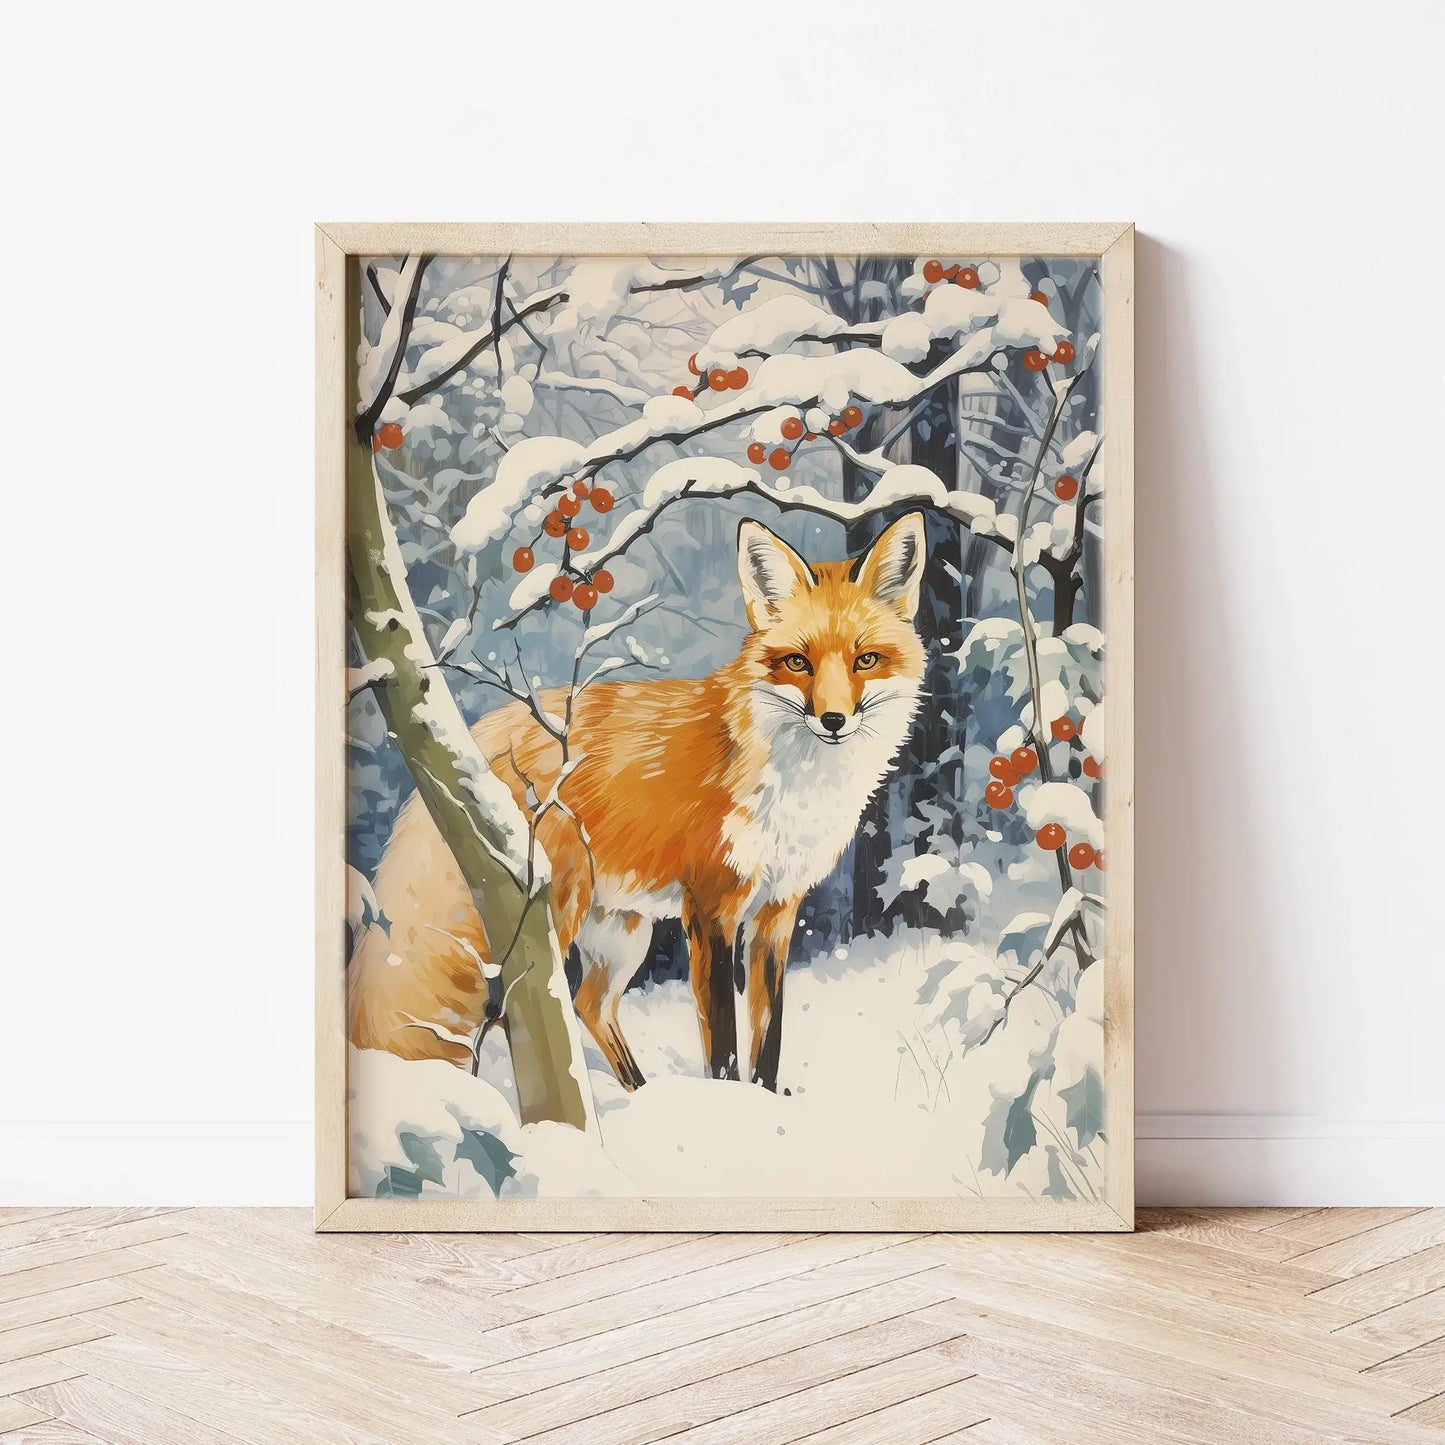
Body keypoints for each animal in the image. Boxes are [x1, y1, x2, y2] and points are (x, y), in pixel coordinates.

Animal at [348, 510, 928, 1093]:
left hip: (622, 930)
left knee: (589, 1005)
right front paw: (728, 1105)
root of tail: (474, 739)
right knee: (523, 1011)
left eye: (866, 660)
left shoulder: (778, 910)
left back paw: (640, 1094)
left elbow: (769, 1038)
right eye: (797, 662)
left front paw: (763, 1101)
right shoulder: (711, 906)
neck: (795, 783)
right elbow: (722, 1042)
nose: (833, 721)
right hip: (552, 910)